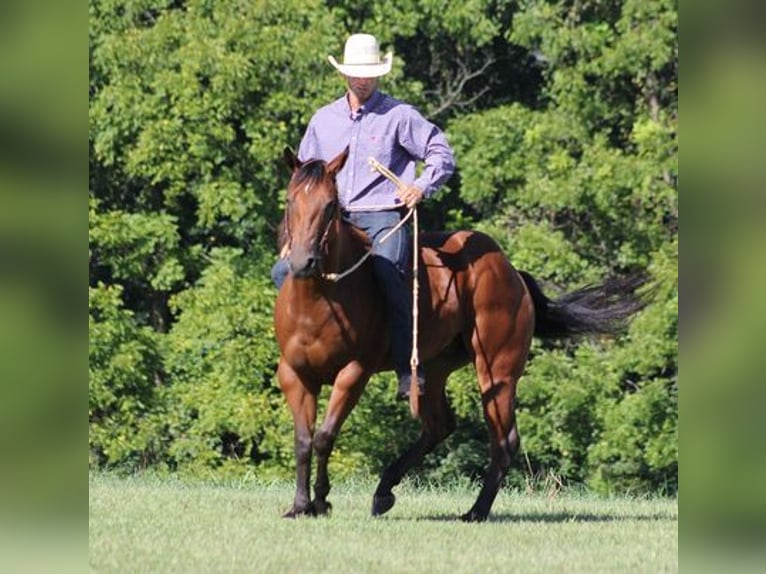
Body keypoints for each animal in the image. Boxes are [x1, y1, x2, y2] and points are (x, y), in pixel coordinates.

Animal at [274, 147, 648, 520]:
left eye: (330, 205)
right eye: (291, 200)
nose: (303, 262)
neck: (321, 302)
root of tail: (512, 273)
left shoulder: (354, 373)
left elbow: (324, 436)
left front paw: (321, 500)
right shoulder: (294, 375)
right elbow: (303, 441)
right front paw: (300, 505)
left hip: (497, 373)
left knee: (504, 441)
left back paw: (476, 511)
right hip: (434, 369)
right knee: (440, 426)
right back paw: (384, 492)